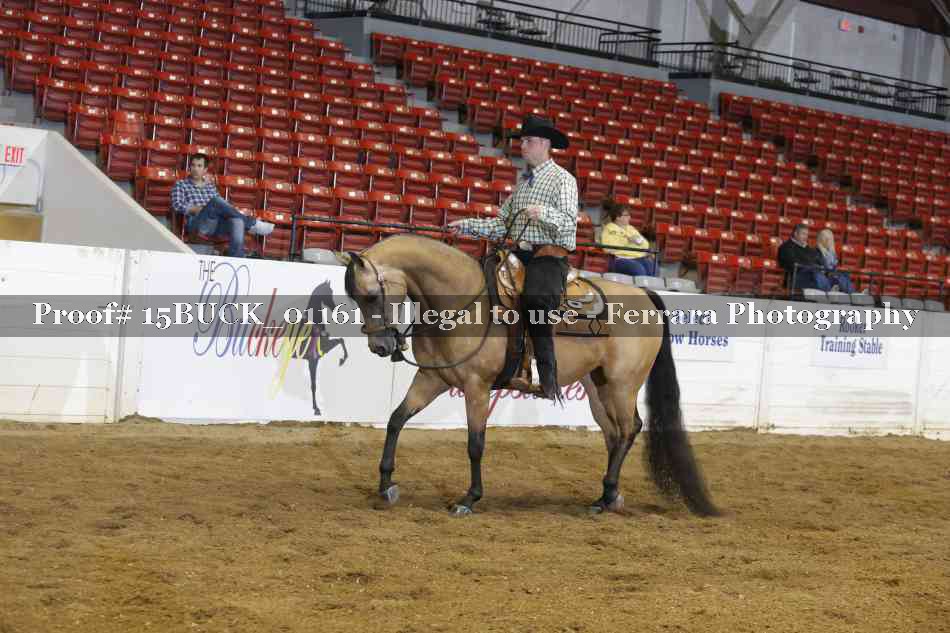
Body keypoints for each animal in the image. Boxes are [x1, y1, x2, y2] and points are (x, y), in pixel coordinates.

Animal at [339, 233, 719, 518]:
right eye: (355, 297)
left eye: (371, 295)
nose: (380, 346)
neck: (463, 302)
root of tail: (644, 294)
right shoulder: (433, 379)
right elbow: (396, 420)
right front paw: (386, 485)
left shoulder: (476, 387)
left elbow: (475, 443)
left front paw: (469, 498)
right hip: (599, 387)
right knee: (613, 434)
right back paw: (606, 497)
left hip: (623, 383)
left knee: (630, 429)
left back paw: (607, 495)